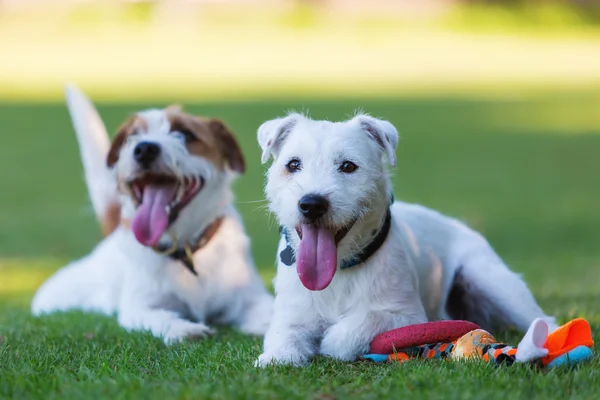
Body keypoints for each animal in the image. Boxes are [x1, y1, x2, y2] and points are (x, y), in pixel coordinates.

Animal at [31, 85, 274, 344]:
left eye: (184, 134)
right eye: (133, 136)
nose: (145, 148)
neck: (185, 250)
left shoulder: (250, 297)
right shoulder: (139, 307)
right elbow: (160, 317)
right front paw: (183, 329)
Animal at [254, 111, 556, 366]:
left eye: (348, 166)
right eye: (293, 164)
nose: (311, 204)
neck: (340, 270)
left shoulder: (406, 315)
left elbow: (357, 326)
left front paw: (332, 341)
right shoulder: (289, 316)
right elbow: (283, 337)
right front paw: (276, 357)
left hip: (493, 281)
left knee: (543, 319)